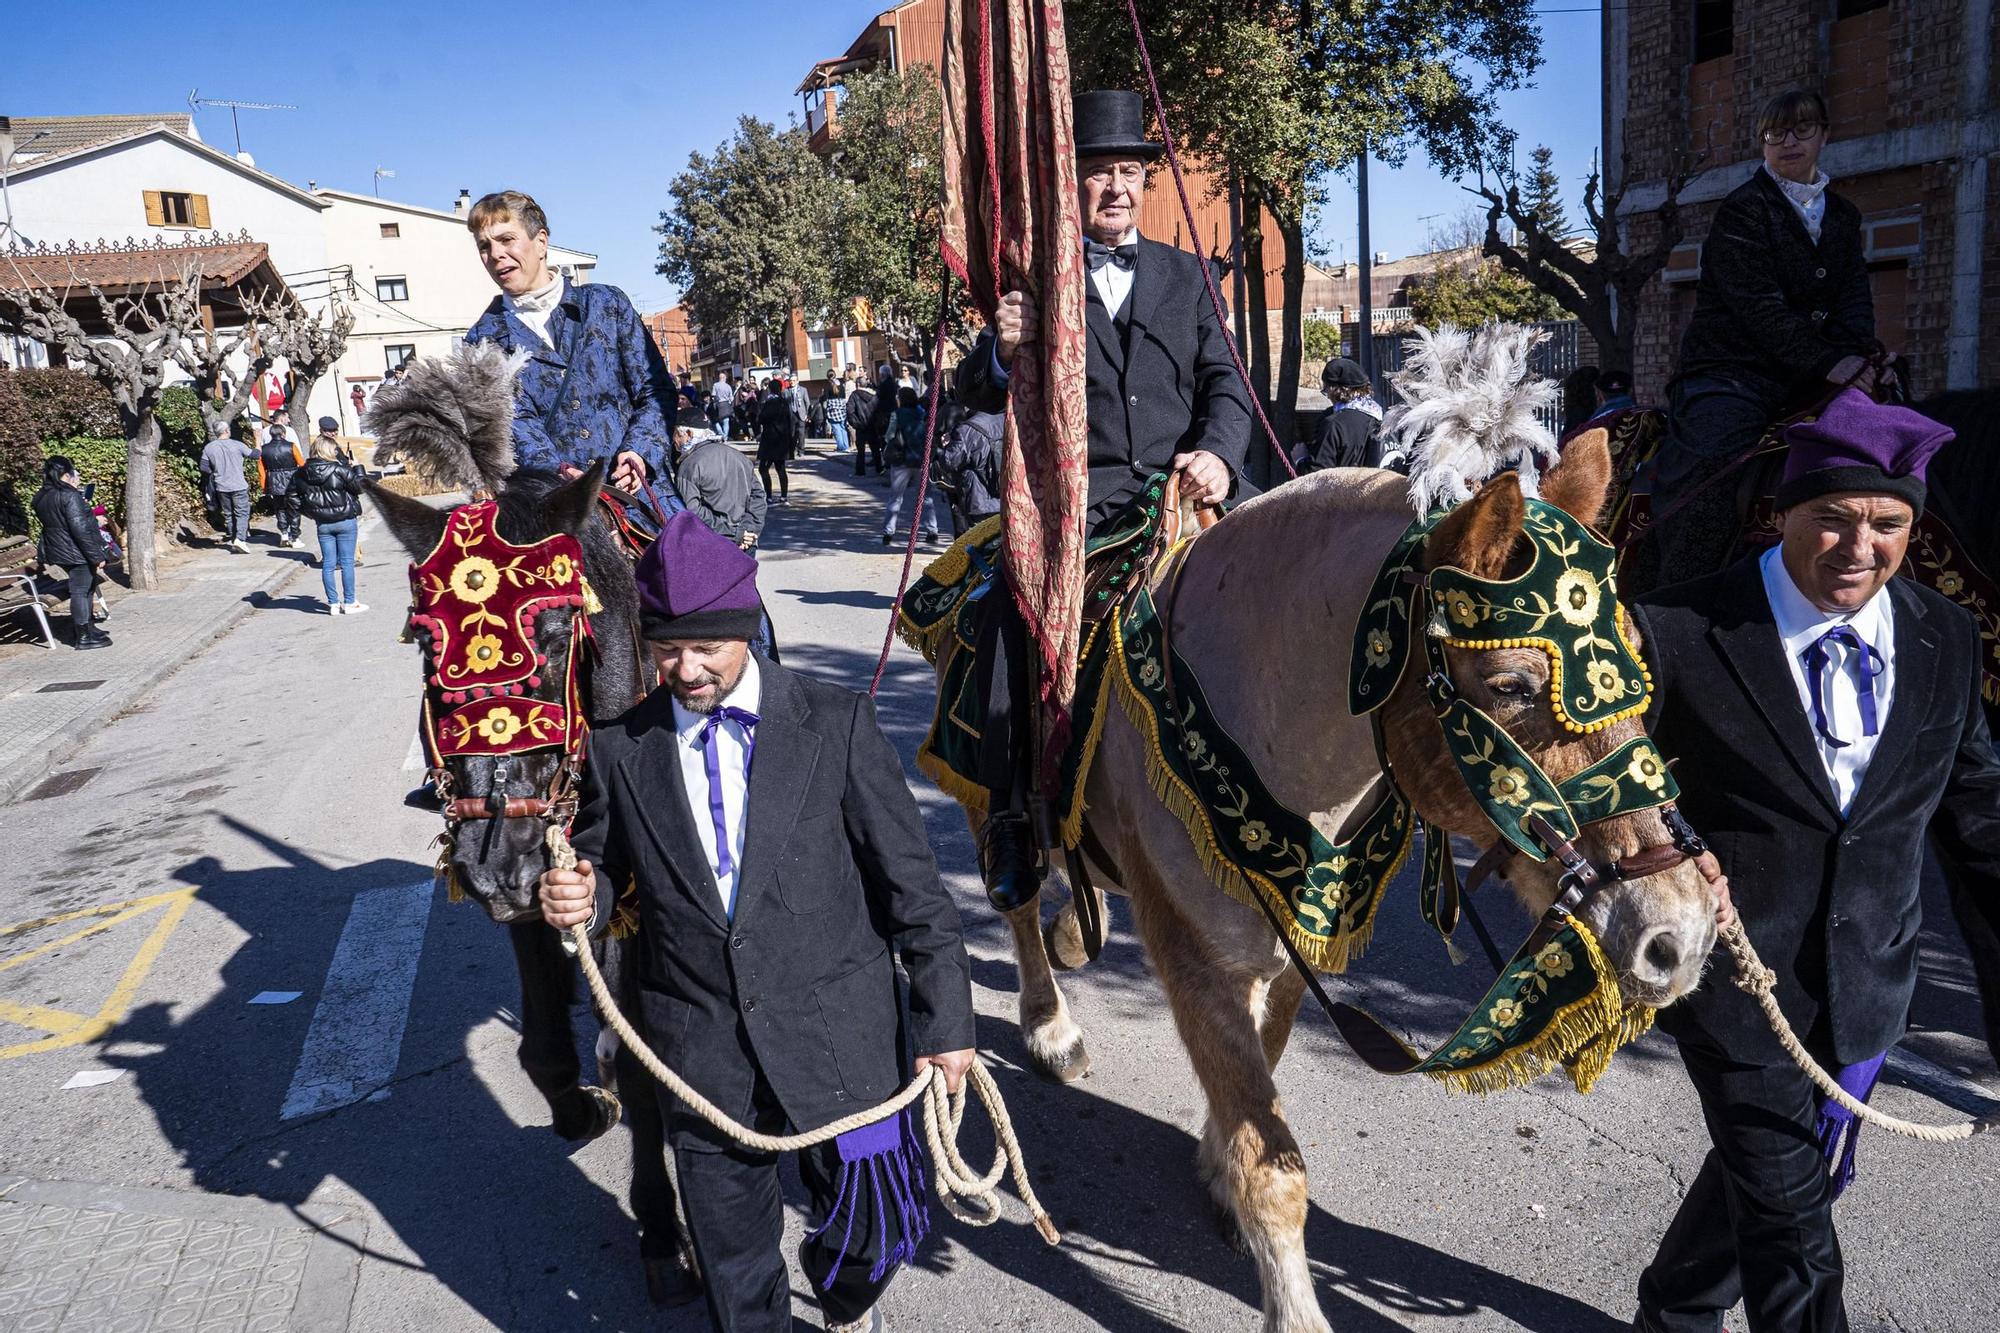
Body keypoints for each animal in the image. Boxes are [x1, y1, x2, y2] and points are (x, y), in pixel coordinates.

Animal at [364, 340, 700, 1296]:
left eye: (553, 635)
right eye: (424, 643)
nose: (492, 854)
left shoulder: (626, 893)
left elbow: (645, 1058)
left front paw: (660, 1228)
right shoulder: (529, 889)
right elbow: (543, 1046)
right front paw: (580, 1107)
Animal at [976, 430, 1712, 1320]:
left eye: (1638, 663)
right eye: (1510, 684)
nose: (1679, 934)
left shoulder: (1297, 944)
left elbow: (1266, 1058)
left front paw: (1212, 1162)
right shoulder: (1194, 960)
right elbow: (1270, 1169)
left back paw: (1077, 934)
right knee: (1018, 902)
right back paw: (1049, 1022)